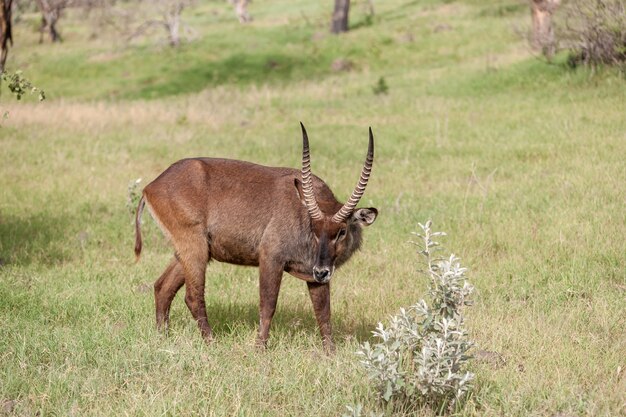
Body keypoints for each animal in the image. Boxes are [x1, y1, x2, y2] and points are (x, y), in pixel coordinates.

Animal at [135, 123, 378, 352]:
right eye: (314, 229)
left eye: (342, 231)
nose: (322, 271)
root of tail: (151, 185)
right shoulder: (271, 257)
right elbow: (268, 304)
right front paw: (260, 348)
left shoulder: (313, 275)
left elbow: (324, 312)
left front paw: (330, 353)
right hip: (194, 246)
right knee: (192, 296)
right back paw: (212, 343)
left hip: (193, 251)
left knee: (162, 287)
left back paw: (163, 338)